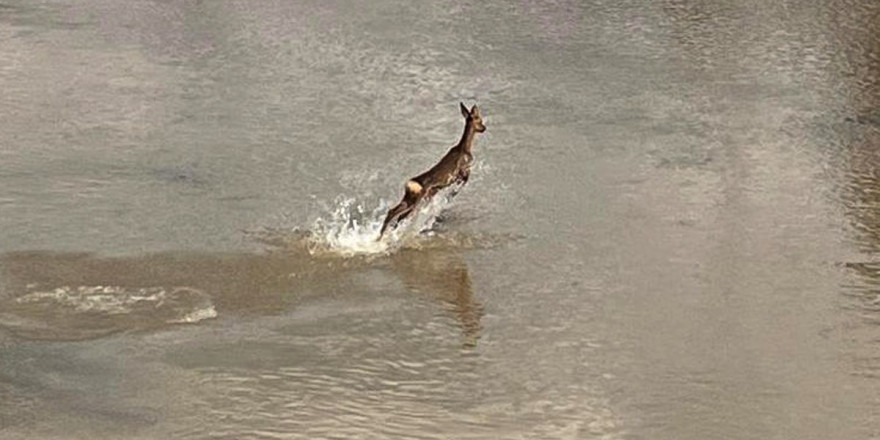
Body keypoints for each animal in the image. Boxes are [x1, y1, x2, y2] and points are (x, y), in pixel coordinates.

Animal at [378, 102, 488, 241]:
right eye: (479, 119)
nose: (484, 128)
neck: (465, 149)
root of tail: (409, 184)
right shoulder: (462, 171)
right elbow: (461, 184)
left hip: (410, 198)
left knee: (394, 213)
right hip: (417, 200)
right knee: (397, 214)